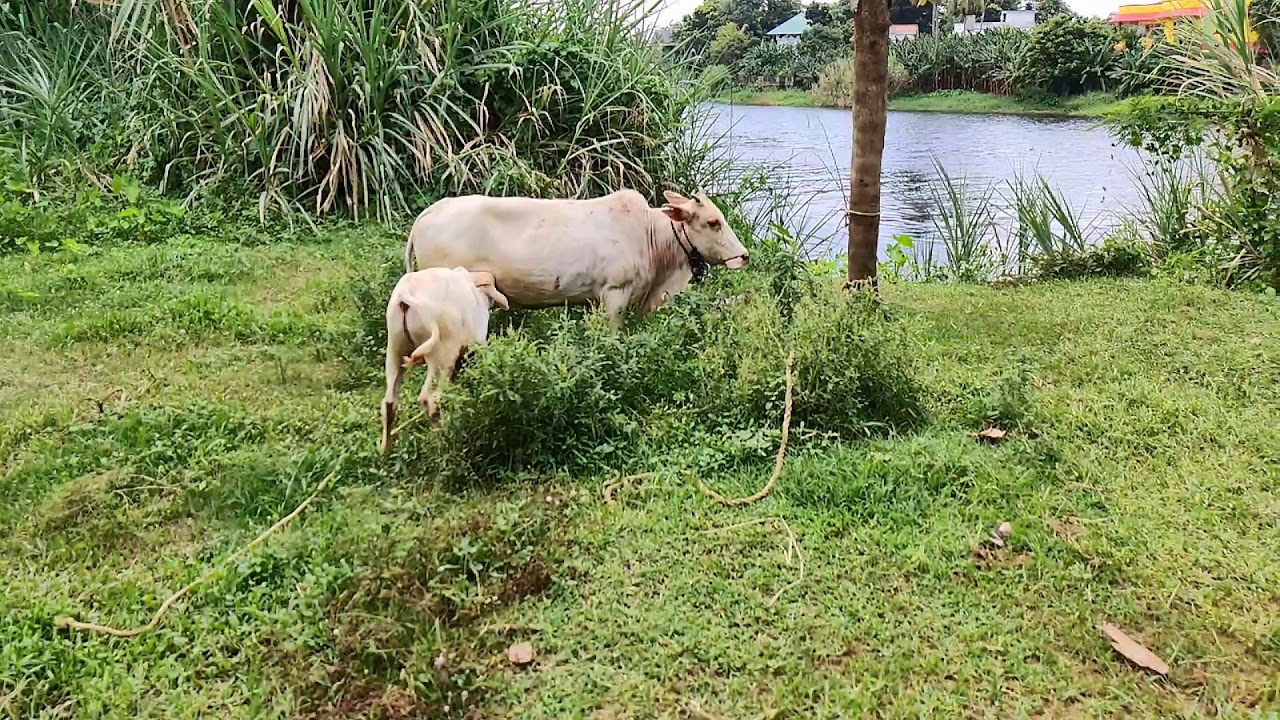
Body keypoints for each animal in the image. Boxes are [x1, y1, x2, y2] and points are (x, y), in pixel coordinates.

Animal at [380, 266, 509, 455]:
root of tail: (406, 292)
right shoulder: (475, 345)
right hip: (440, 354)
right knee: (430, 399)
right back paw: (443, 445)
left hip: (395, 349)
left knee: (390, 403)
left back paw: (386, 450)